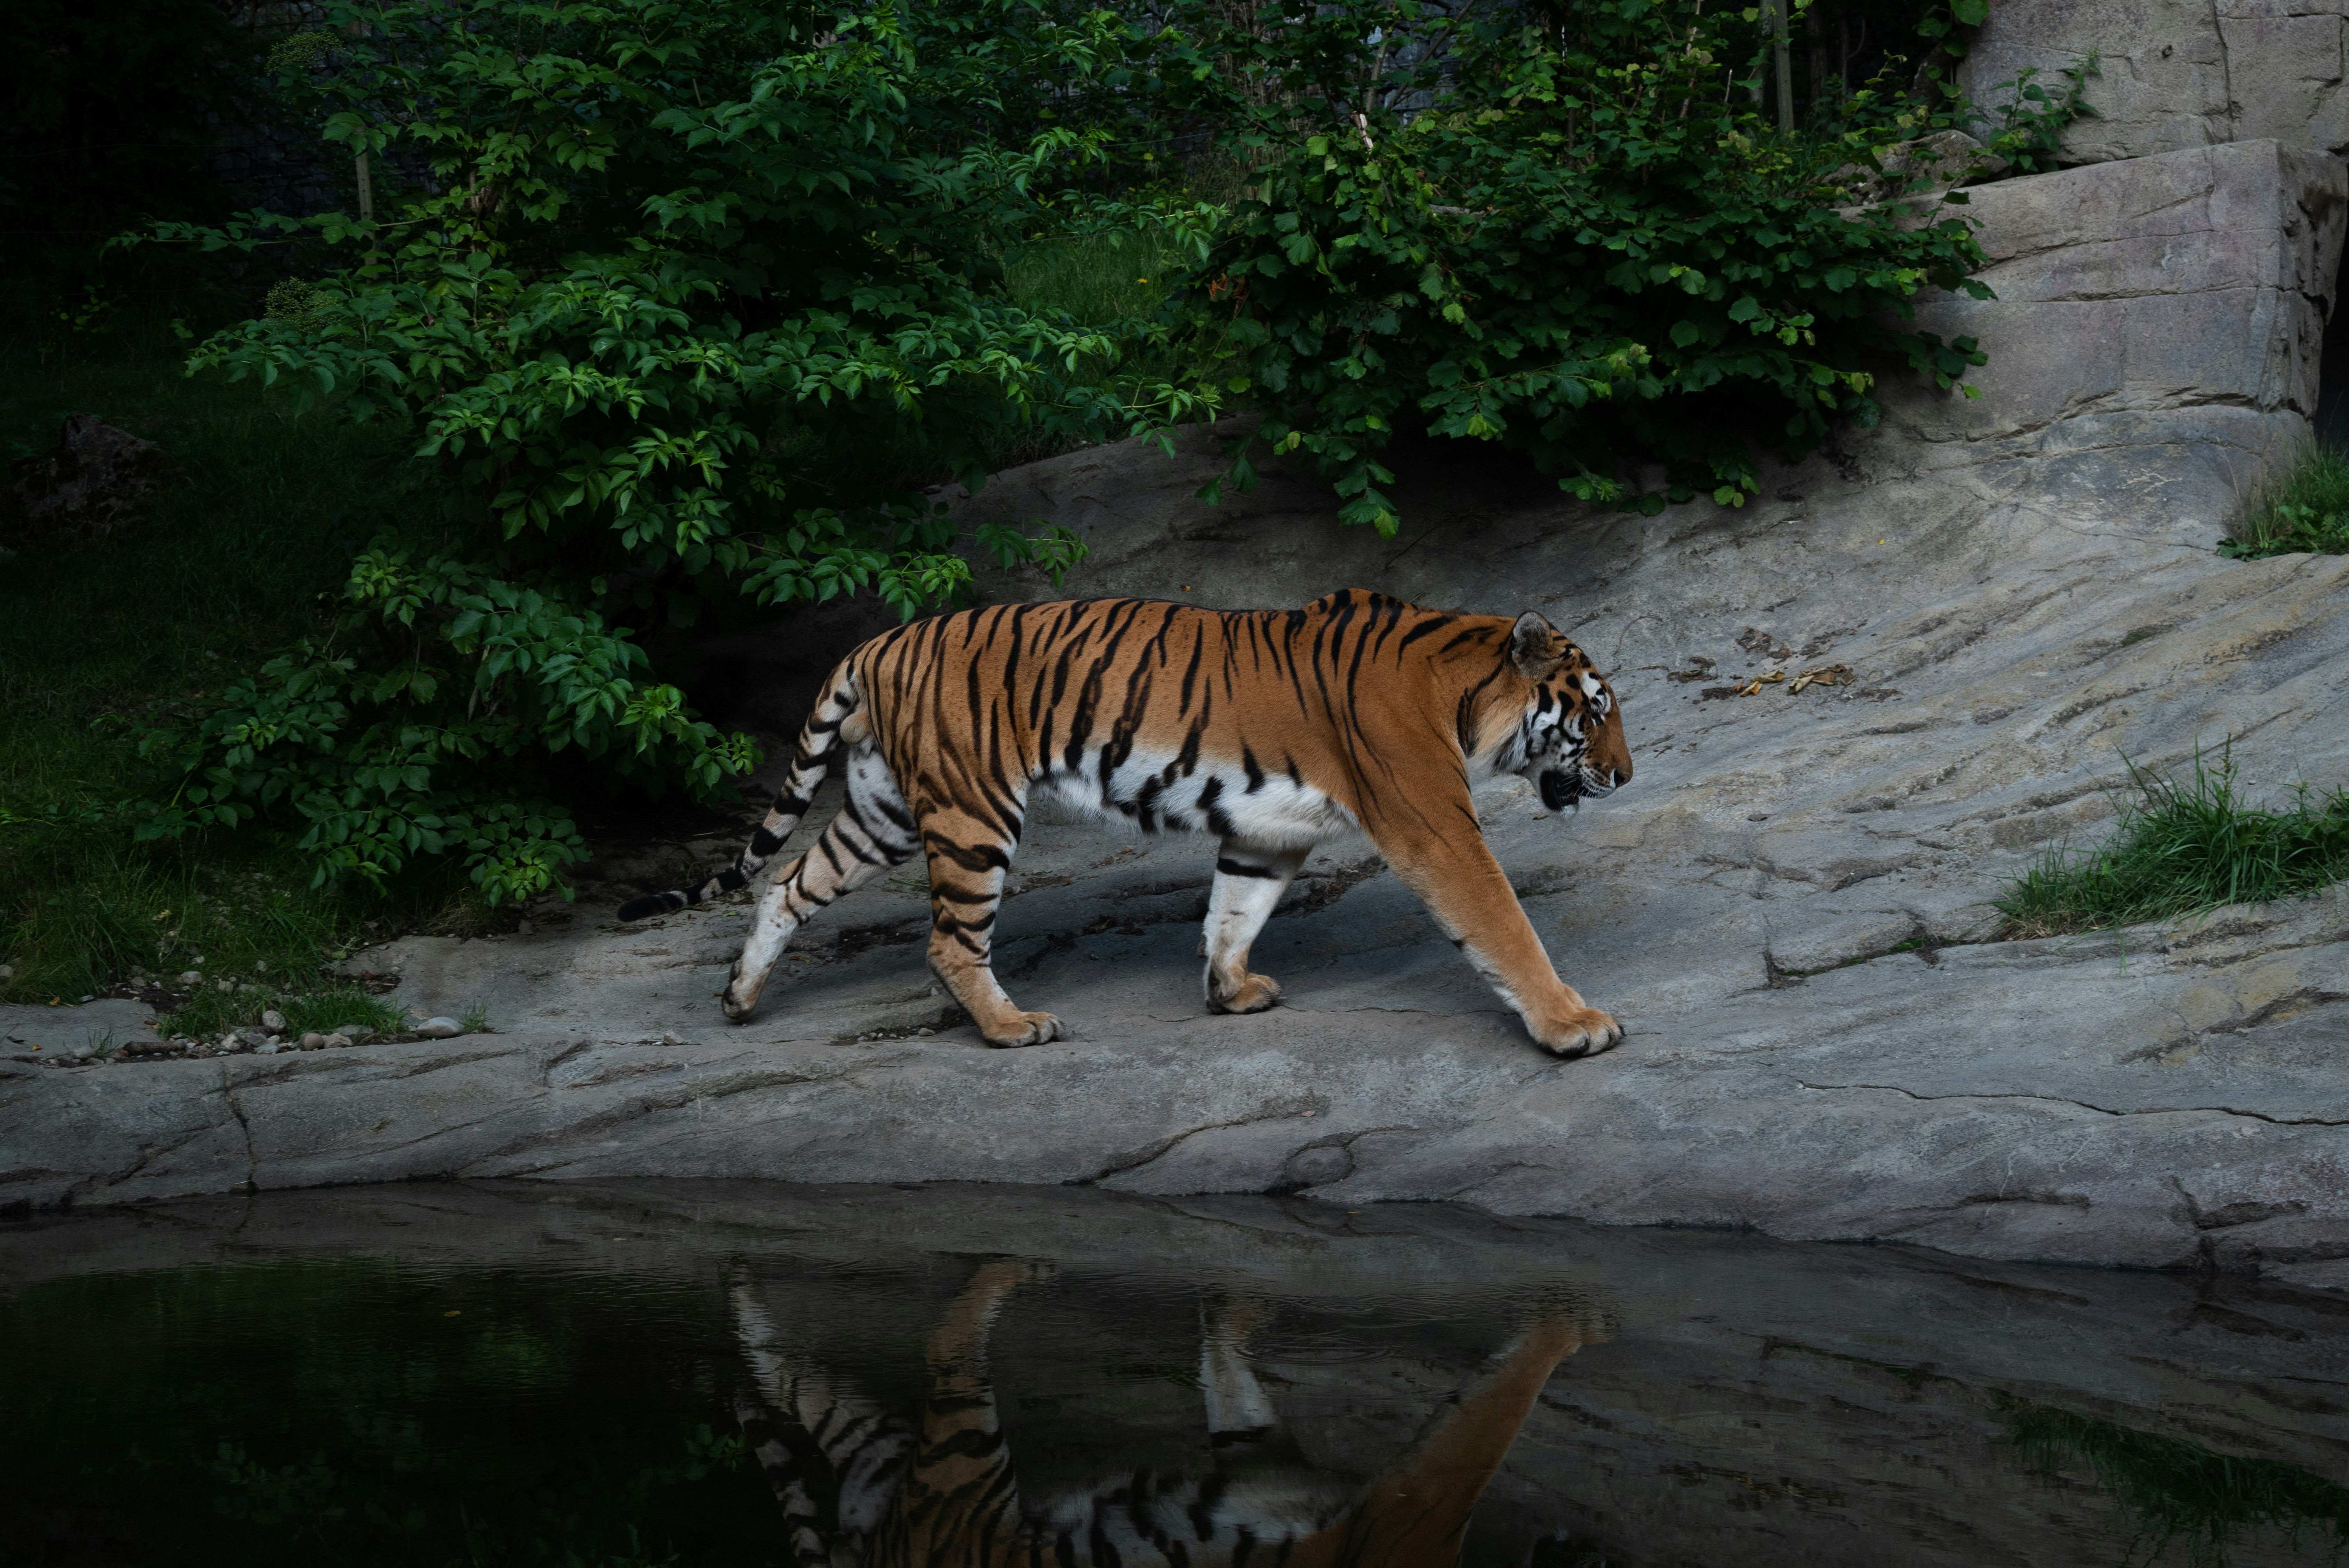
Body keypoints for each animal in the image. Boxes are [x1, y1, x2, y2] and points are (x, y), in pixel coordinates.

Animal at [616, 590, 1633, 1057]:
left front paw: (1231, 991)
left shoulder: (1266, 830)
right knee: (949, 940)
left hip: (883, 811)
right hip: (973, 811)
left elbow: (1232, 911)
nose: (1625, 774)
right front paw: (1574, 1024)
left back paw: (740, 999)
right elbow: (1502, 924)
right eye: (1594, 712)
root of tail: (878, 641)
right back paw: (1013, 1026)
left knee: (787, 885)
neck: (1461, 685)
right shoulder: (1434, 825)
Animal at [728, 1254, 1604, 1566]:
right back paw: (1015, 1273)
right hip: (960, 1470)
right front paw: (1570, 1327)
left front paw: (1235, 1308)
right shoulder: (1411, 1512)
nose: (1579, 1543)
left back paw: (742, 1322)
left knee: (811, 1393)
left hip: (892, 1472)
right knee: (946, 1345)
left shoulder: (1258, 1452)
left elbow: (1227, 1374)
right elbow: (1497, 1409)